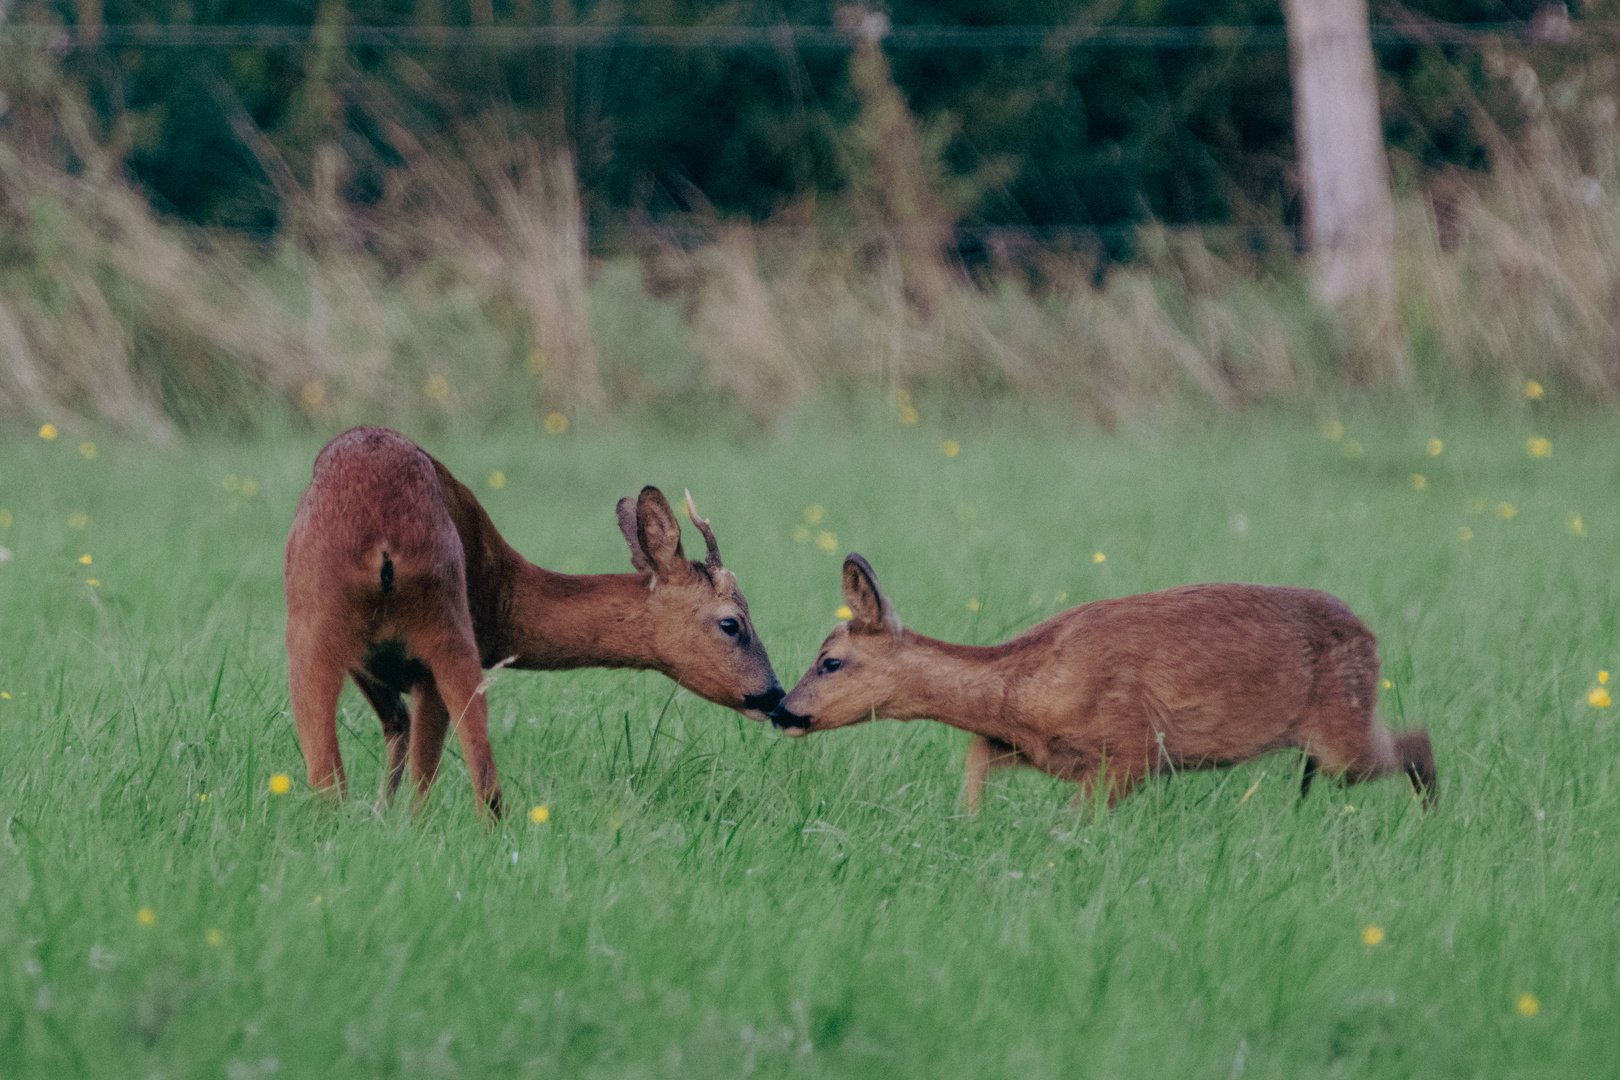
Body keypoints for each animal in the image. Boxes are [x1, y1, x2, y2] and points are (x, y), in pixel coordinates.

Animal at [285, 427, 784, 816]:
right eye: (733, 623)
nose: (775, 695)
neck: (504, 599)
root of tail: (382, 538)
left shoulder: (370, 666)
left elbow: (396, 730)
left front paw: (377, 818)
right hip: (444, 626)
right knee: (474, 786)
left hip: (313, 631)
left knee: (327, 781)